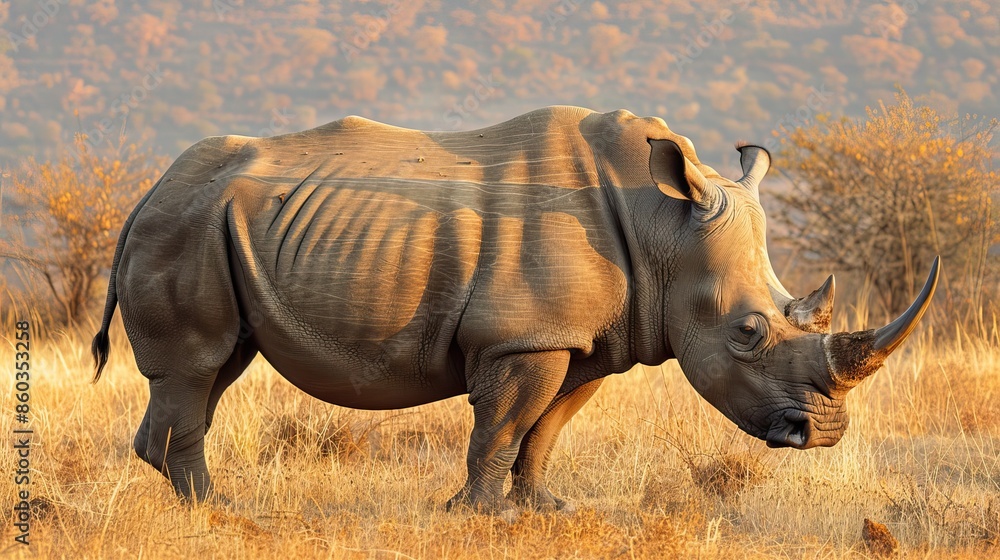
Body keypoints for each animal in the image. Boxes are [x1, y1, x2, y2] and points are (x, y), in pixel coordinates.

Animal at [91, 106, 938, 512]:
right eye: (748, 332)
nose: (822, 434)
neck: (664, 227)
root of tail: (144, 194)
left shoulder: (585, 339)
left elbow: (545, 430)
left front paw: (543, 509)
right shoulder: (522, 337)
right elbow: (500, 427)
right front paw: (472, 515)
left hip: (213, 226)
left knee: (217, 370)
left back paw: (206, 502)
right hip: (183, 226)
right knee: (196, 369)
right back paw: (222, 512)